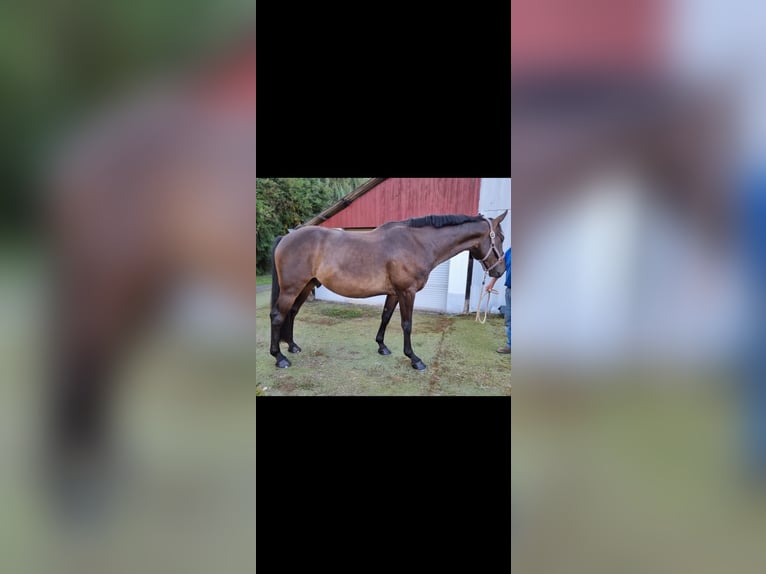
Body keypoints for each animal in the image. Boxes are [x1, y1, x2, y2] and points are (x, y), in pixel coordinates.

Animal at [269, 211, 508, 370]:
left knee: (292, 313)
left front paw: (382, 346)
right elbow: (407, 324)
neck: (417, 243)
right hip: (291, 288)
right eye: (502, 238)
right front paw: (414, 359)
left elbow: (385, 317)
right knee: (278, 316)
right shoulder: (407, 292)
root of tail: (287, 237)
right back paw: (279, 357)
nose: (500, 271)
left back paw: (292, 346)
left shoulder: (394, 293)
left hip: (306, 286)